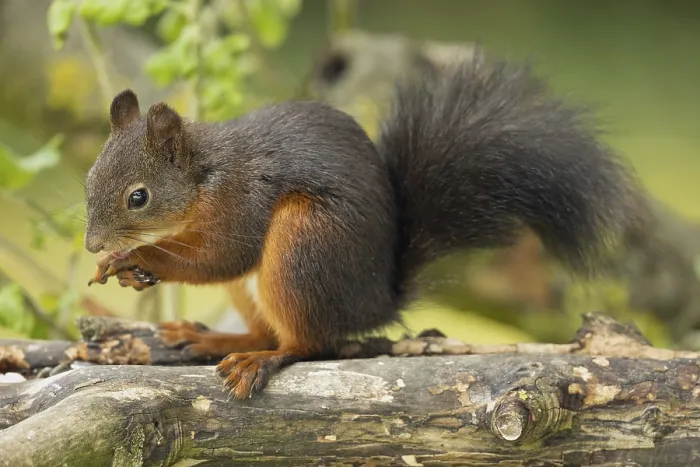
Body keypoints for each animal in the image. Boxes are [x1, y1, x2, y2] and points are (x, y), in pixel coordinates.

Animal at [83, 52, 643, 399]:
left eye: (138, 197)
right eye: (88, 178)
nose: (92, 244)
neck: (205, 177)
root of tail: (374, 300)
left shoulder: (244, 203)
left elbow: (220, 258)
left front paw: (137, 258)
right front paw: (122, 265)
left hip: (301, 247)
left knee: (308, 344)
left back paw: (260, 359)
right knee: (268, 327)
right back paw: (217, 340)